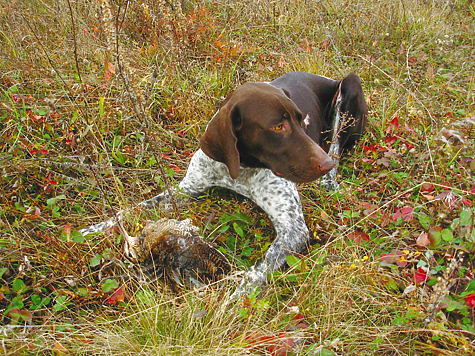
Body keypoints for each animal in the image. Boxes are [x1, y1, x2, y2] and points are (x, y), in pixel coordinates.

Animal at [79, 71, 368, 298]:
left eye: (301, 120)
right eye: (278, 127)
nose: (325, 165)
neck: (243, 170)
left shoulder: (293, 228)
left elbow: (256, 272)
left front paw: (231, 301)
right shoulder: (186, 190)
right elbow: (129, 210)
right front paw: (89, 231)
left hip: (349, 88)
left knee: (336, 144)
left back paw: (330, 181)